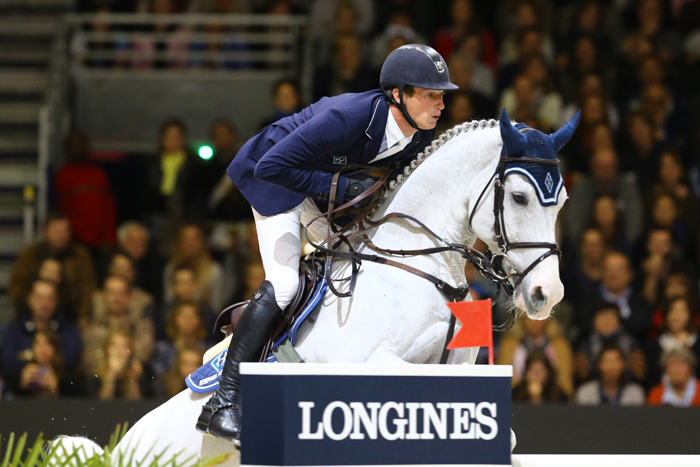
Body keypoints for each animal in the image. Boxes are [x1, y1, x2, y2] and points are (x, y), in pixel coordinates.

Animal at [56, 109, 577, 466]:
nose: (546, 295)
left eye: (562, 200)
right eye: (519, 197)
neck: (415, 264)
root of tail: (120, 447)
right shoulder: (363, 366)